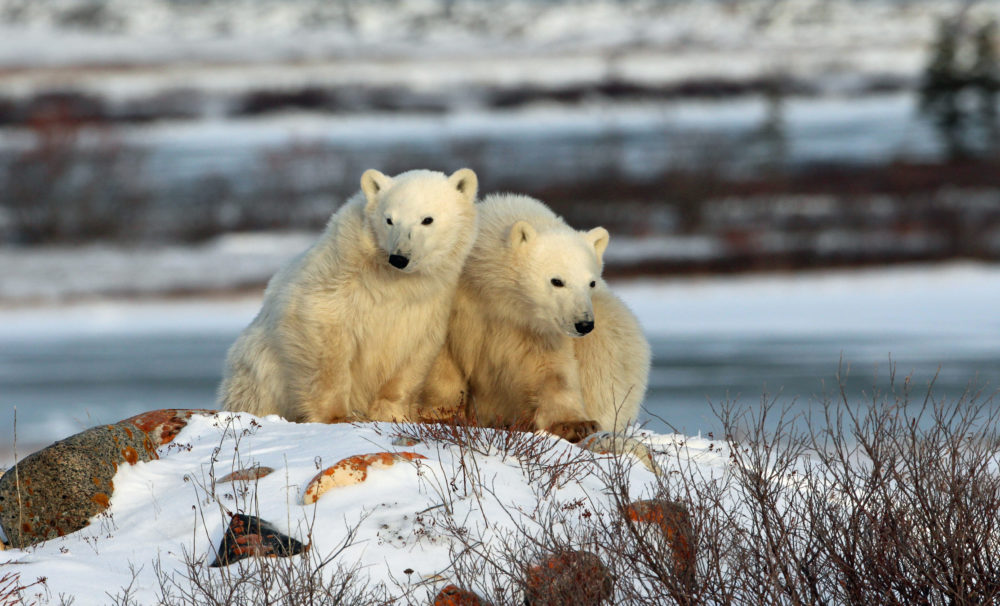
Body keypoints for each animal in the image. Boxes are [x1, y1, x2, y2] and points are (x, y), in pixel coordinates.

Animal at [219, 168, 479, 424]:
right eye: (389, 220)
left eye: (427, 219)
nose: (399, 257)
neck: (393, 280)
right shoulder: (337, 279)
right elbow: (324, 340)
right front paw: (338, 416)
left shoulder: (428, 302)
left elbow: (414, 353)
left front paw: (393, 414)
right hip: (258, 369)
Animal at [418, 193, 650, 441]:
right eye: (557, 281)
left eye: (592, 282)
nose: (584, 324)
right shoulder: (457, 302)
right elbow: (442, 359)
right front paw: (441, 415)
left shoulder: (537, 329)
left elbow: (552, 372)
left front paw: (576, 424)